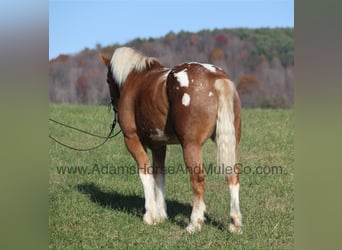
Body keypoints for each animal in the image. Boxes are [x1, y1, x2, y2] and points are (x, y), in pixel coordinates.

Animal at [99, 47, 243, 234]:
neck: (135, 79)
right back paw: (234, 223)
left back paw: (194, 223)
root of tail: (215, 76)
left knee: (198, 178)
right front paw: (161, 214)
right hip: (231, 143)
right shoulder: (158, 145)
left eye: (108, 79)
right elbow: (159, 175)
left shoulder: (132, 140)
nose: (113, 105)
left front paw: (150, 215)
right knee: (232, 175)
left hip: (190, 146)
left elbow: (145, 173)